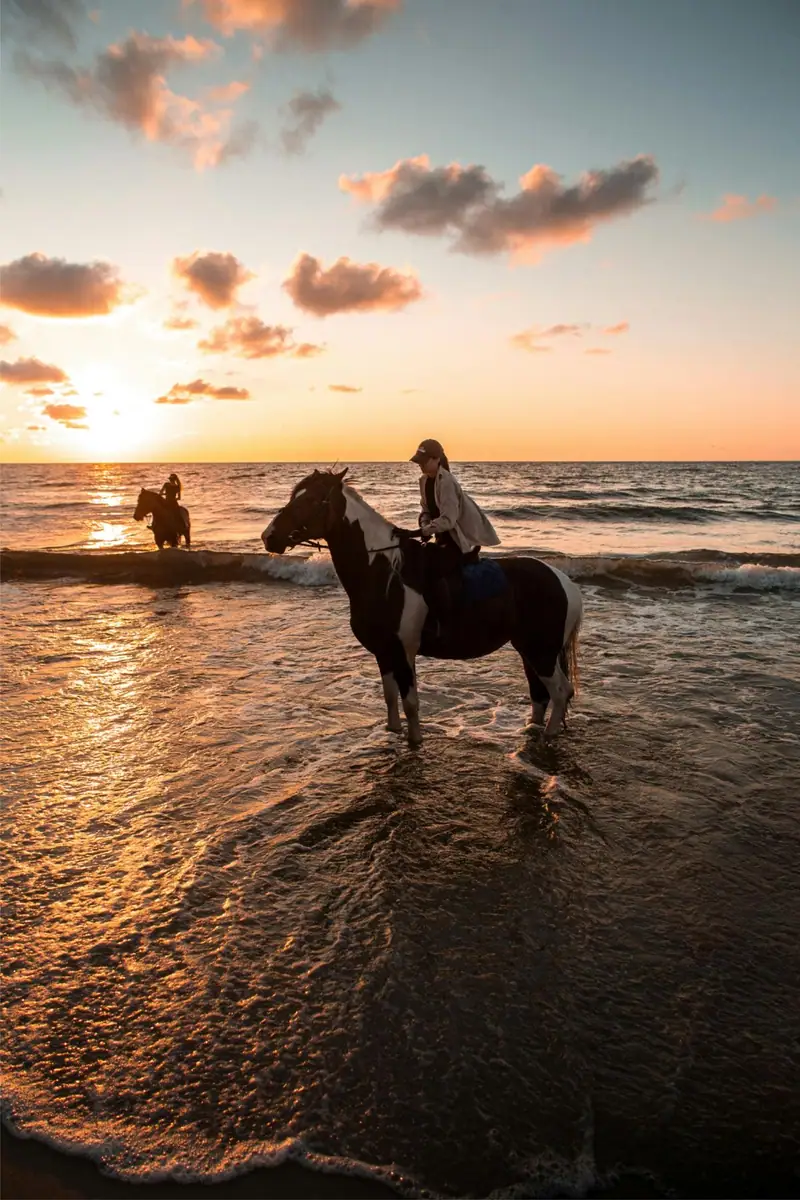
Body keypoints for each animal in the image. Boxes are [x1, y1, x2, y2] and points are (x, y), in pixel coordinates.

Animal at [262, 469, 582, 747]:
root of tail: (564, 582)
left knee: (560, 691)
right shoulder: (384, 651)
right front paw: (392, 732)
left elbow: (411, 701)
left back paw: (548, 735)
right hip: (528, 649)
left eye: (311, 500)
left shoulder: (404, 650)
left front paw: (415, 741)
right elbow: (390, 696)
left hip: (541, 651)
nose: (268, 537)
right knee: (540, 694)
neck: (384, 572)